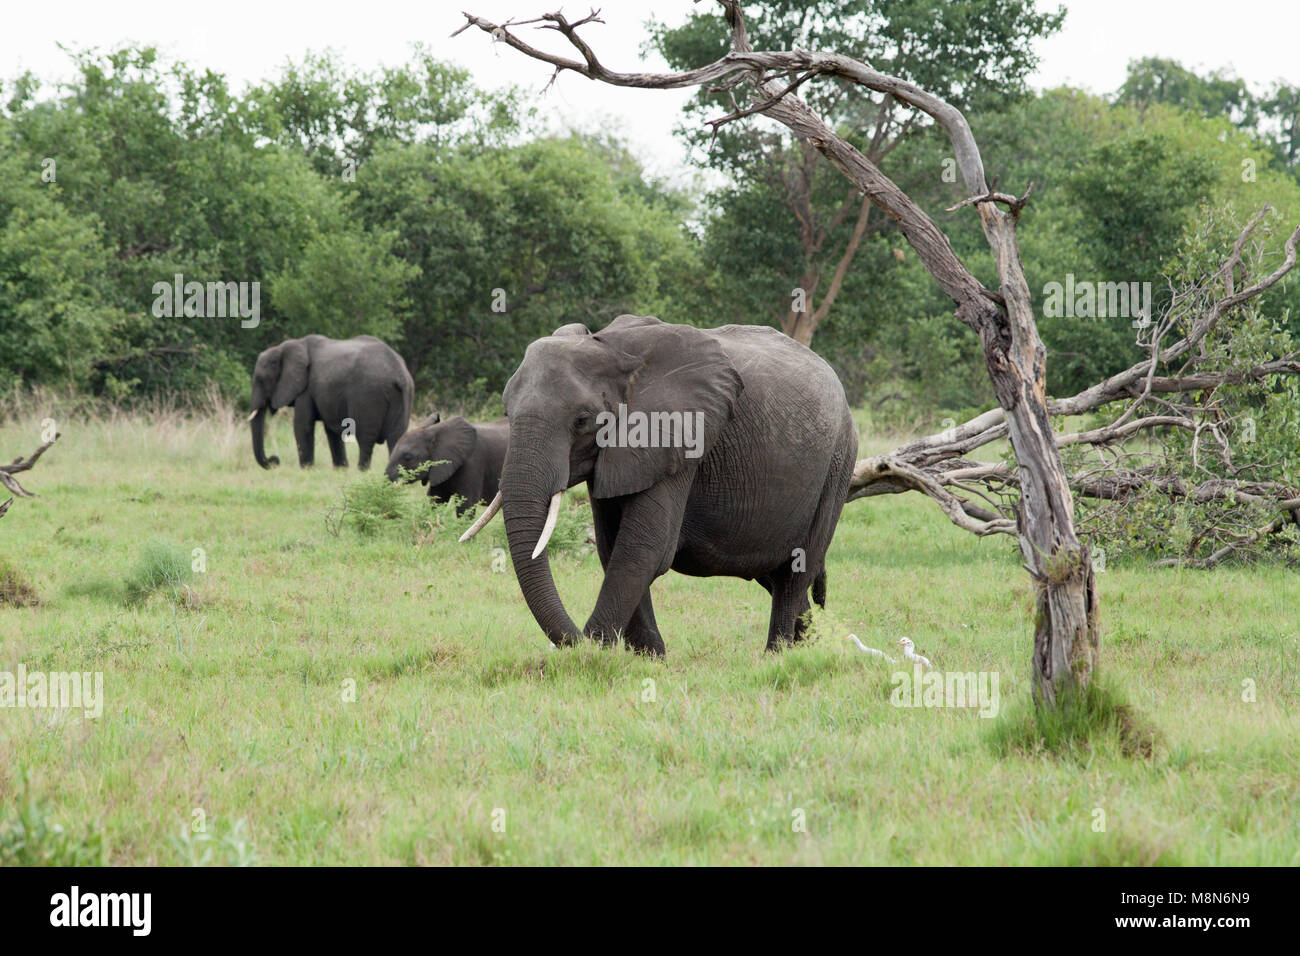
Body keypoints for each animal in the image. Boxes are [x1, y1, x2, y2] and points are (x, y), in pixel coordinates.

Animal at [246, 335, 410, 473]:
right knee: (396, 437)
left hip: (368, 396)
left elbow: (302, 425)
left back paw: (362, 471)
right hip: (403, 395)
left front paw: (307, 470)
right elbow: (332, 430)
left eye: (261, 380)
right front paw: (340, 470)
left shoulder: (306, 389)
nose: (274, 460)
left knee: (365, 438)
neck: (283, 348)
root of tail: (399, 374)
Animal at [462, 314, 857, 658]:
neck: (610, 347)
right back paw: (805, 647)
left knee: (796, 571)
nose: (575, 641)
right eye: (507, 413)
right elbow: (612, 546)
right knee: (776, 575)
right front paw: (648, 658)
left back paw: (778, 655)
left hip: (838, 463)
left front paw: (595, 653)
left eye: (582, 420)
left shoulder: (678, 439)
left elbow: (644, 547)